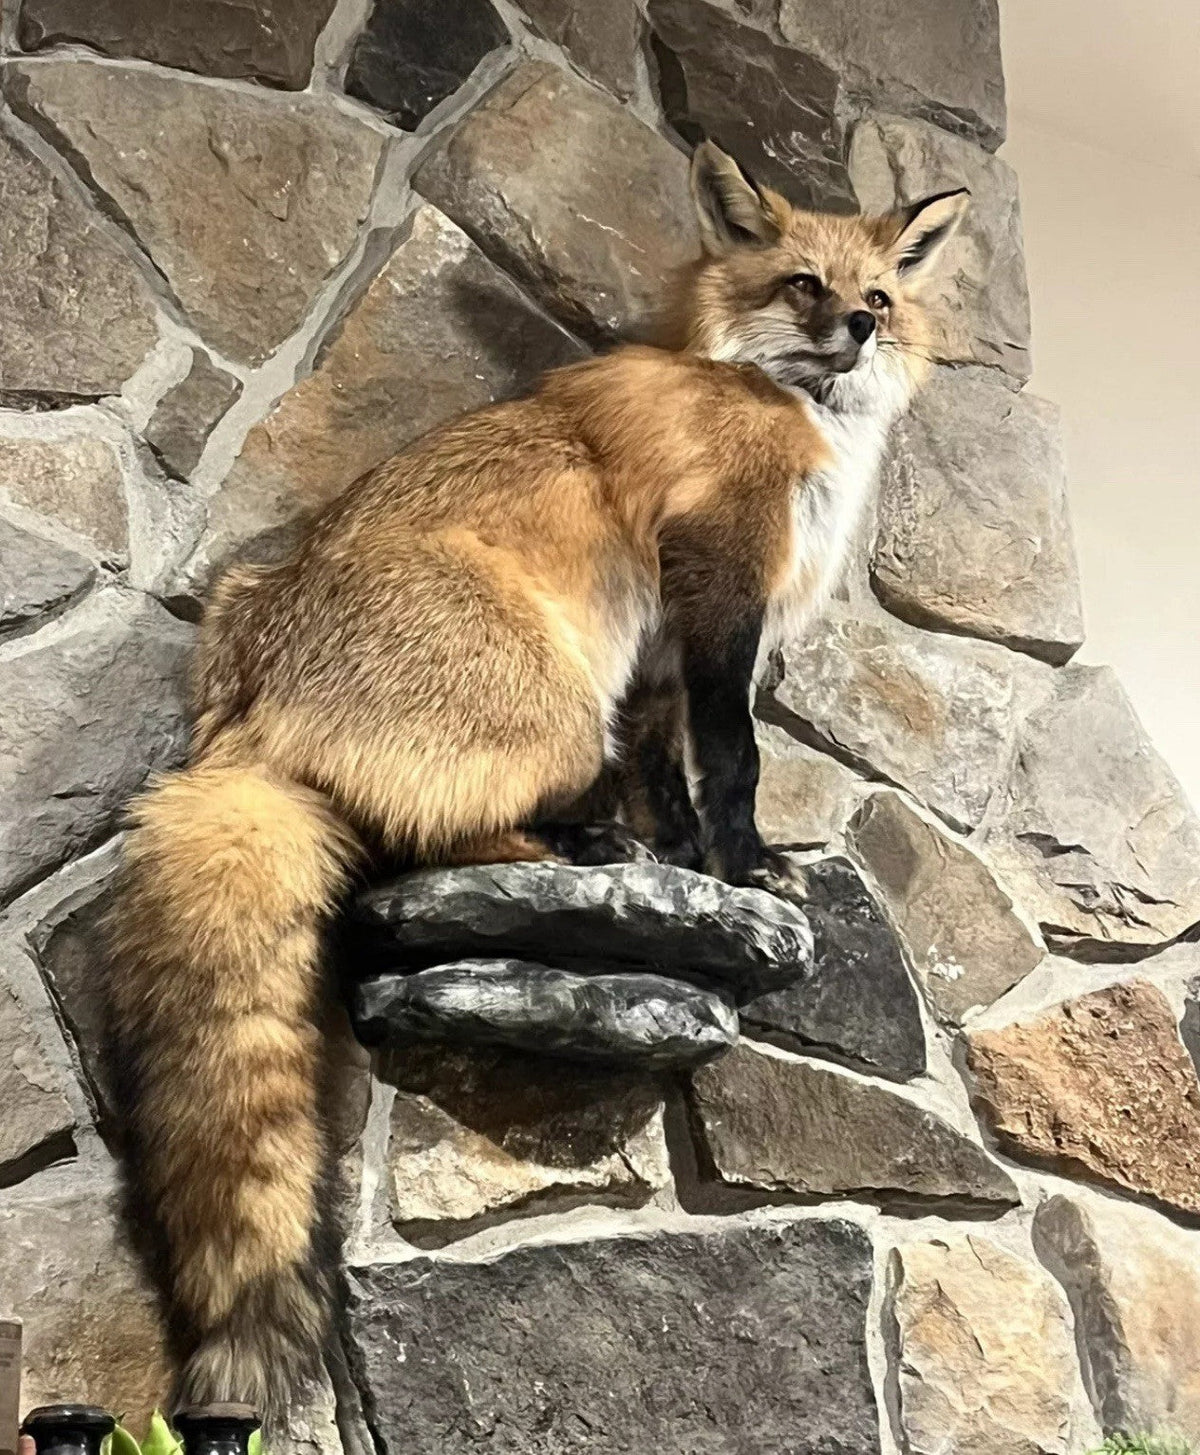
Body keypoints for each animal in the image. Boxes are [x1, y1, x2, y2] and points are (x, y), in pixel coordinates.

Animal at [106, 139, 967, 1419]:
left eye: (879, 297)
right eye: (805, 286)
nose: (860, 331)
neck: (779, 399)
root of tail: (246, 700)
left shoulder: (658, 657)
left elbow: (669, 770)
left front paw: (690, 860)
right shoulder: (720, 577)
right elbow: (736, 755)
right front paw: (749, 864)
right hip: (561, 717)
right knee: (417, 850)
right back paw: (583, 849)